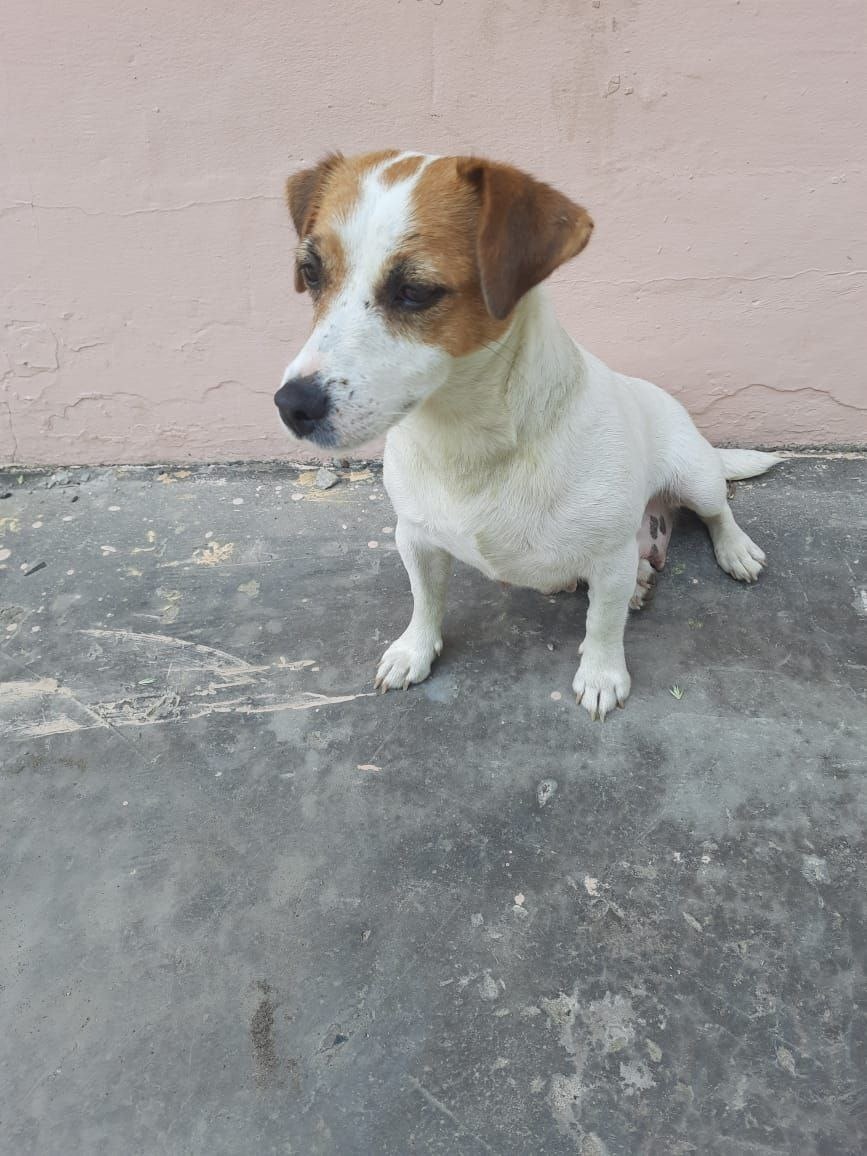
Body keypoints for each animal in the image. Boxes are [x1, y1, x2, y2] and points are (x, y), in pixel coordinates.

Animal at [274, 151, 780, 719]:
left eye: (416, 291)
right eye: (310, 273)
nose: (291, 406)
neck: (467, 442)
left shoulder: (609, 558)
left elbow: (603, 625)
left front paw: (602, 675)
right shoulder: (414, 536)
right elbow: (425, 600)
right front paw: (414, 650)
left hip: (695, 475)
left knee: (718, 509)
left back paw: (734, 550)